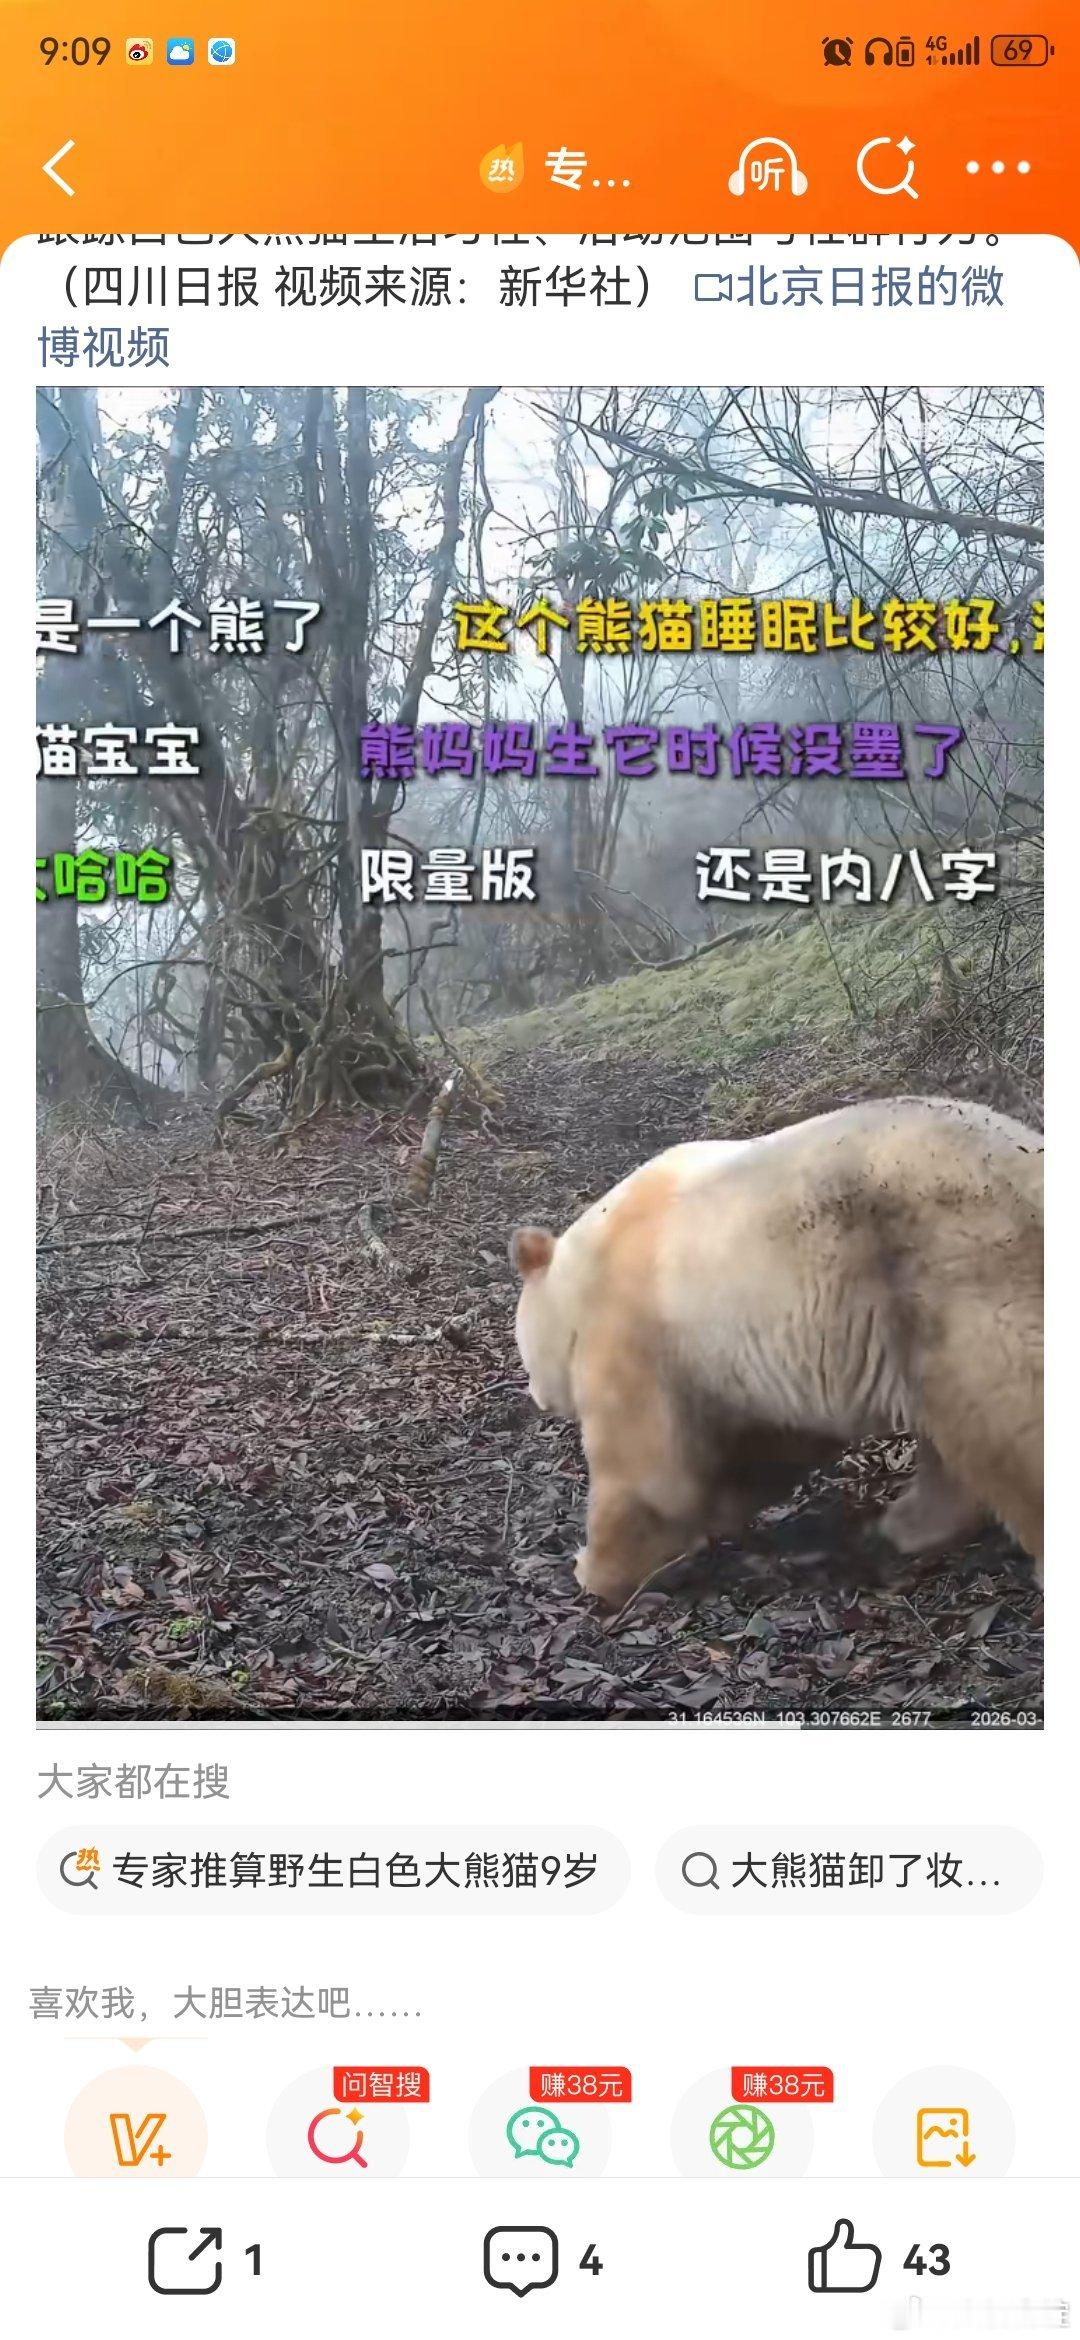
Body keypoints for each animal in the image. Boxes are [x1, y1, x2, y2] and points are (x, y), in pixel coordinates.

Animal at [510, 1096, 1043, 1609]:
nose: (534, 1394)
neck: (587, 1265)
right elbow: (772, 1443)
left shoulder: (635, 1323)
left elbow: (647, 1470)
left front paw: (595, 1571)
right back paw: (906, 1525)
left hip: (947, 1274)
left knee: (1006, 1417)